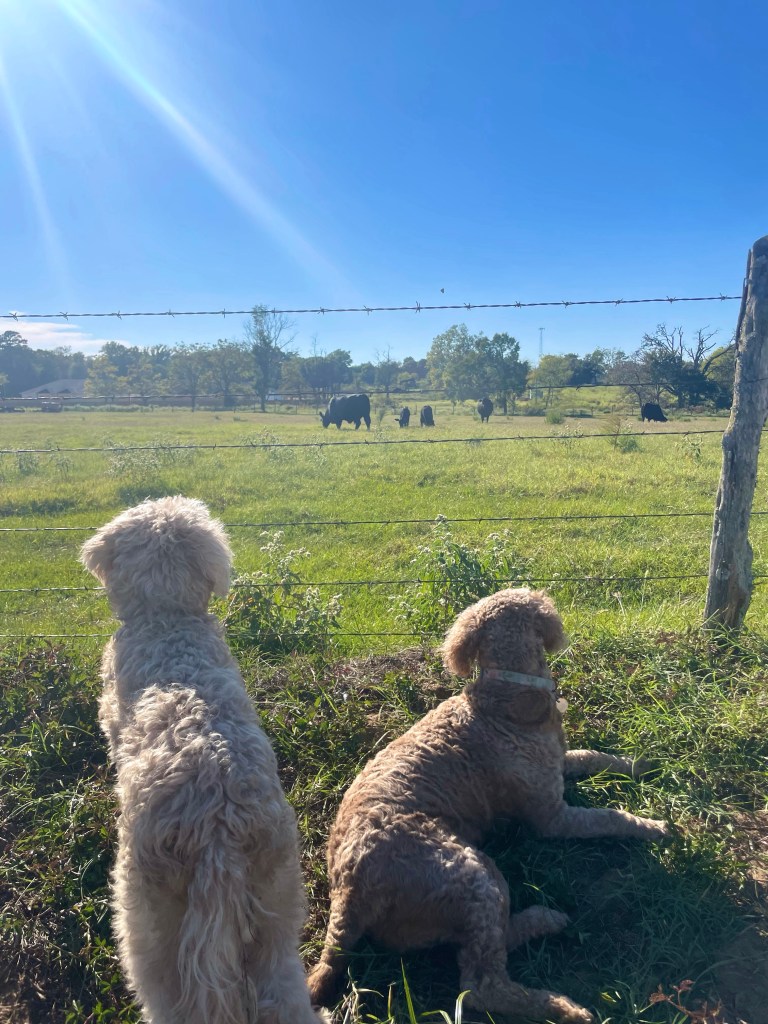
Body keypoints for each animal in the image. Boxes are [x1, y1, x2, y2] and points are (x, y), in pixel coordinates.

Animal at [81, 496, 327, 1024]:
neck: (169, 621)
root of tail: (218, 828)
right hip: (277, 908)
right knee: (282, 990)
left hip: (148, 920)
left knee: (163, 995)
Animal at [308, 588, 667, 1023]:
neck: (504, 696)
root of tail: (346, 894)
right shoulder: (553, 817)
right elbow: (607, 818)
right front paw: (650, 826)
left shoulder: (558, 764)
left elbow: (595, 756)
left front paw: (640, 764)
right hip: (472, 876)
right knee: (481, 985)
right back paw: (565, 1007)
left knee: (486, 943)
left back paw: (543, 919)